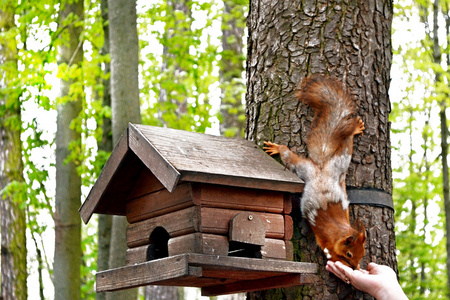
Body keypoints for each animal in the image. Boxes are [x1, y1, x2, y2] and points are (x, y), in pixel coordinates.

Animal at [264, 75, 366, 270]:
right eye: (349, 254)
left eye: (363, 253)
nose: (355, 267)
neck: (340, 231)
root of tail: (320, 167)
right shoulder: (326, 241)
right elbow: (330, 253)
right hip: (305, 168)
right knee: (289, 156)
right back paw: (278, 148)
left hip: (339, 164)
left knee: (346, 146)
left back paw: (355, 129)